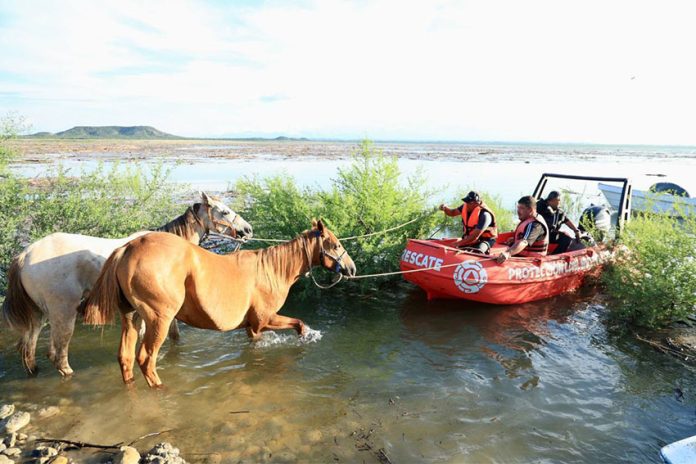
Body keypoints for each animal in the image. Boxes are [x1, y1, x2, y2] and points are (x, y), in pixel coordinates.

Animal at [2, 192, 253, 377]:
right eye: (224, 211)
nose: (248, 230)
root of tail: (24, 256)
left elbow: (170, 336)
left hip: (39, 315)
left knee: (29, 349)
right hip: (63, 312)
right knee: (58, 354)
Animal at [83, 219, 355, 388]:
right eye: (335, 244)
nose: (352, 268)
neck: (271, 270)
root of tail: (128, 247)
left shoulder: (252, 328)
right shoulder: (264, 320)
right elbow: (299, 323)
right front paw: (305, 338)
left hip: (131, 317)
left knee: (126, 358)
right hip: (159, 320)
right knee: (145, 360)